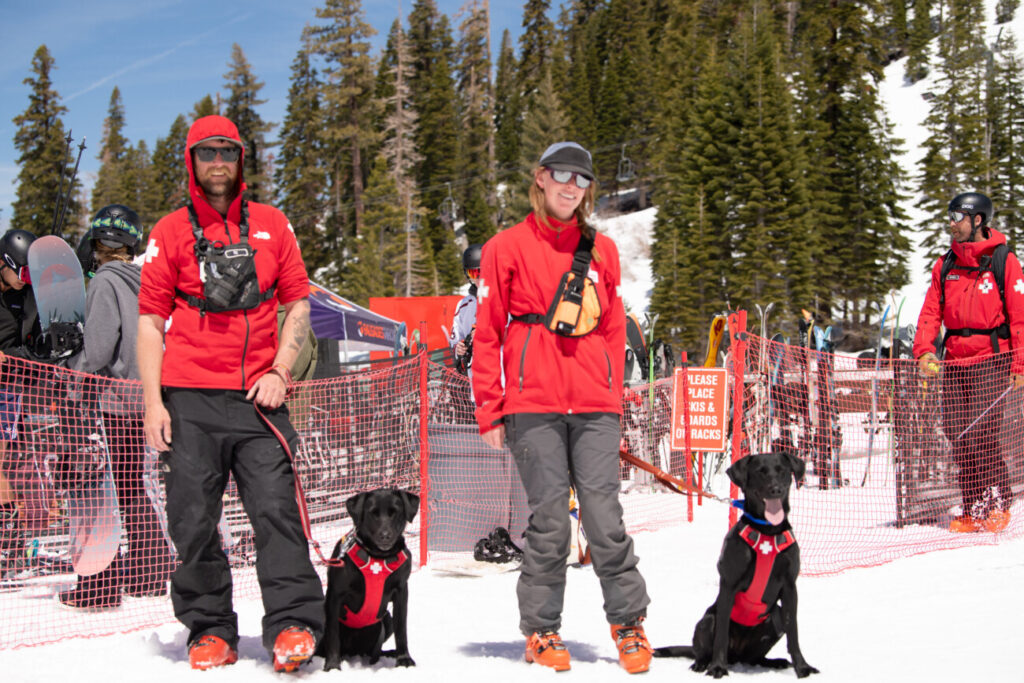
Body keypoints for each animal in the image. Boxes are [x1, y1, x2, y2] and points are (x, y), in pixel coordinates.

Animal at [317, 489, 417, 671]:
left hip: (386, 620)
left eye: (395, 512)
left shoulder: (401, 591)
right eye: (373, 514)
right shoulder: (335, 595)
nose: (385, 536)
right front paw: (332, 665)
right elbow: (333, 634)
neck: (378, 557)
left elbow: (402, 629)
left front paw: (404, 659)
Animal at [659, 454, 819, 679]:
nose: (776, 489)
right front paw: (717, 667)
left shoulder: (789, 587)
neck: (767, 531)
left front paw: (803, 667)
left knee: (755, 658)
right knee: (704, 648)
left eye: (782, 470)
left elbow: (793, 632)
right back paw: (702, 664)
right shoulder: (729, 585)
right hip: (707, 620)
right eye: (760, 472)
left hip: (775, 619)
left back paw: (775, 662)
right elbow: (721, 636)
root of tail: (737, 656)